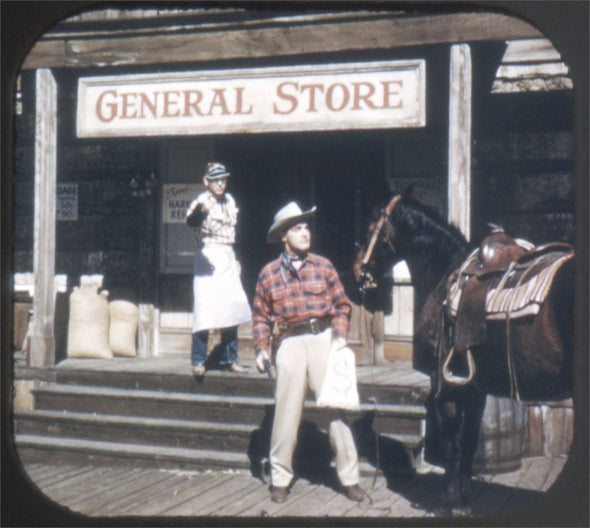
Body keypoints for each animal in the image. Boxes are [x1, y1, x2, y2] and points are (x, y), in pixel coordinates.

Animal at [354, 190, 576, 516]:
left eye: (372, 228)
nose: (357, 270)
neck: (444, 271)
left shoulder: (444, 386)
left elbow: (451, 444)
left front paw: (449, 501)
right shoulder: (475, 389)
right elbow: (469, 442)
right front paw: (465, 498)